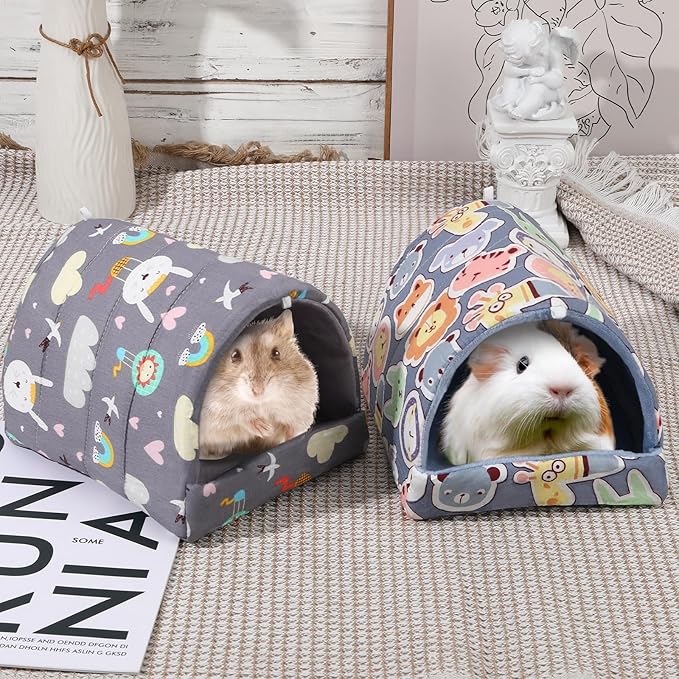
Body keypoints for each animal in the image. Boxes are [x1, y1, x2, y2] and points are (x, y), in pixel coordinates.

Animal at [199, 310, 319, 459]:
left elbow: (293, 427)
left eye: (276, 353)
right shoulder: (214, 409)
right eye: (234, 355)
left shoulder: (303, 405)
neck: (262, 403)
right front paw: (265, 429)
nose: (258, 390)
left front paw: (283, 435)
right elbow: (240, 416)